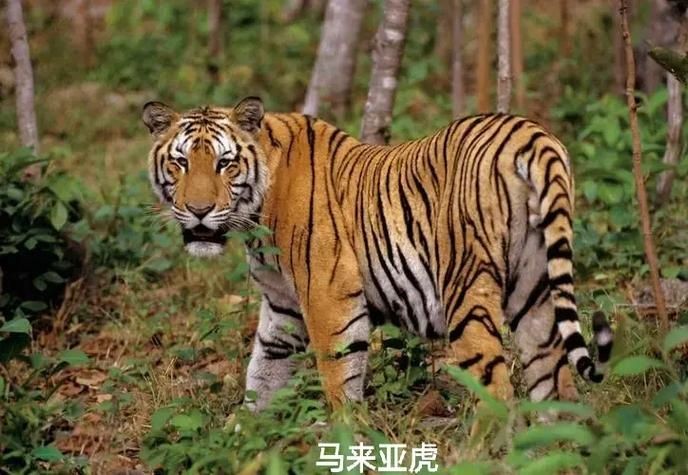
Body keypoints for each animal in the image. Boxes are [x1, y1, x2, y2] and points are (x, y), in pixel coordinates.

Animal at [141, 96, 613, 411]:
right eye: (181, 163)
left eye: (225, 164)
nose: (199, 210)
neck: (257, 214)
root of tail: (531, 134)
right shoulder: (281, 307)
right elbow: (263, 373)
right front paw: (245, 439)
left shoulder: (329, 297)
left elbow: (339, 377)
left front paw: (346, 438)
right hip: (535, 291)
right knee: (555, 383)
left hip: (466, 289)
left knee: (497, 390)